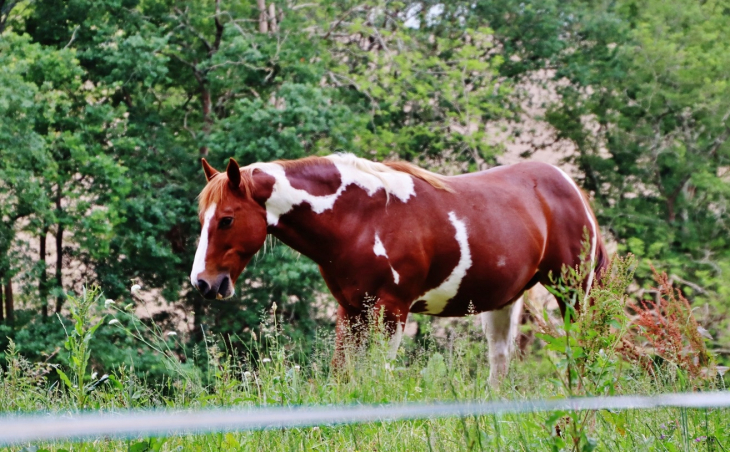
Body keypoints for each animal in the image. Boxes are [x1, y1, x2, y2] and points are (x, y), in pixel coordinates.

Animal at [189, 153, 608, 384]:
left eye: (227, 219)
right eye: (201, 218)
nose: (203, 283)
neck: (360, 218)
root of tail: (571, 187)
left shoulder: (391, 311)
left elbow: (378, 376)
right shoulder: (350, 310)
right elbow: (343, 375)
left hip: (572, 294)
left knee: (580, 351)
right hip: (504, 302)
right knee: (500, 362)